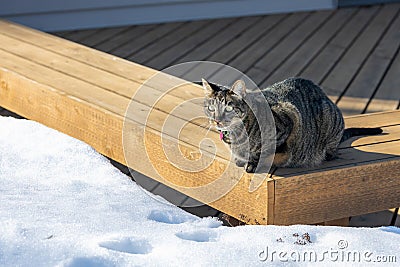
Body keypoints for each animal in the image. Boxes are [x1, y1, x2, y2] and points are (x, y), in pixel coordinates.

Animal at [202, 77, 382, 174]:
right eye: (211, 108)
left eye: (229, 108)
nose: (217, 120)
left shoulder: (289, 118)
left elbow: (262, 151)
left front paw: (252, 163)